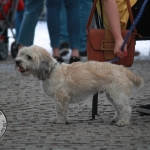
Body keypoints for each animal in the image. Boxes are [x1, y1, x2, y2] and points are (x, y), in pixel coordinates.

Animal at [15, 45, 144, 126]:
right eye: (20, 54)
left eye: (29, 57)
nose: (17, 61)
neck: (51, 71)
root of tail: (122, 69)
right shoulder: (64, 100)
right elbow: (65, 110)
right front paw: (65, 120)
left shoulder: (61, 98)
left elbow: (60, 110)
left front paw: (59, 120)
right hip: (112, 96)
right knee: (119, 108)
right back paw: (117, 119)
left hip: (117, 95)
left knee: (126, 108)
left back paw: (124, 122)